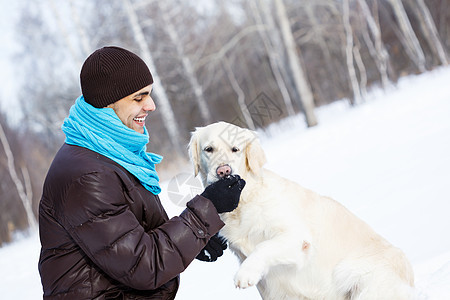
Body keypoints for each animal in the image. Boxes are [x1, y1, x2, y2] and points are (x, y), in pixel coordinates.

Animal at [187, 122, 414, 300]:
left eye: (236, 149)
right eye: (209, 149)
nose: (223, 171)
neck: (243, 202)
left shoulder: (298, 239)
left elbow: (264, 246)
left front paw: (246, 272)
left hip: (355, 276)